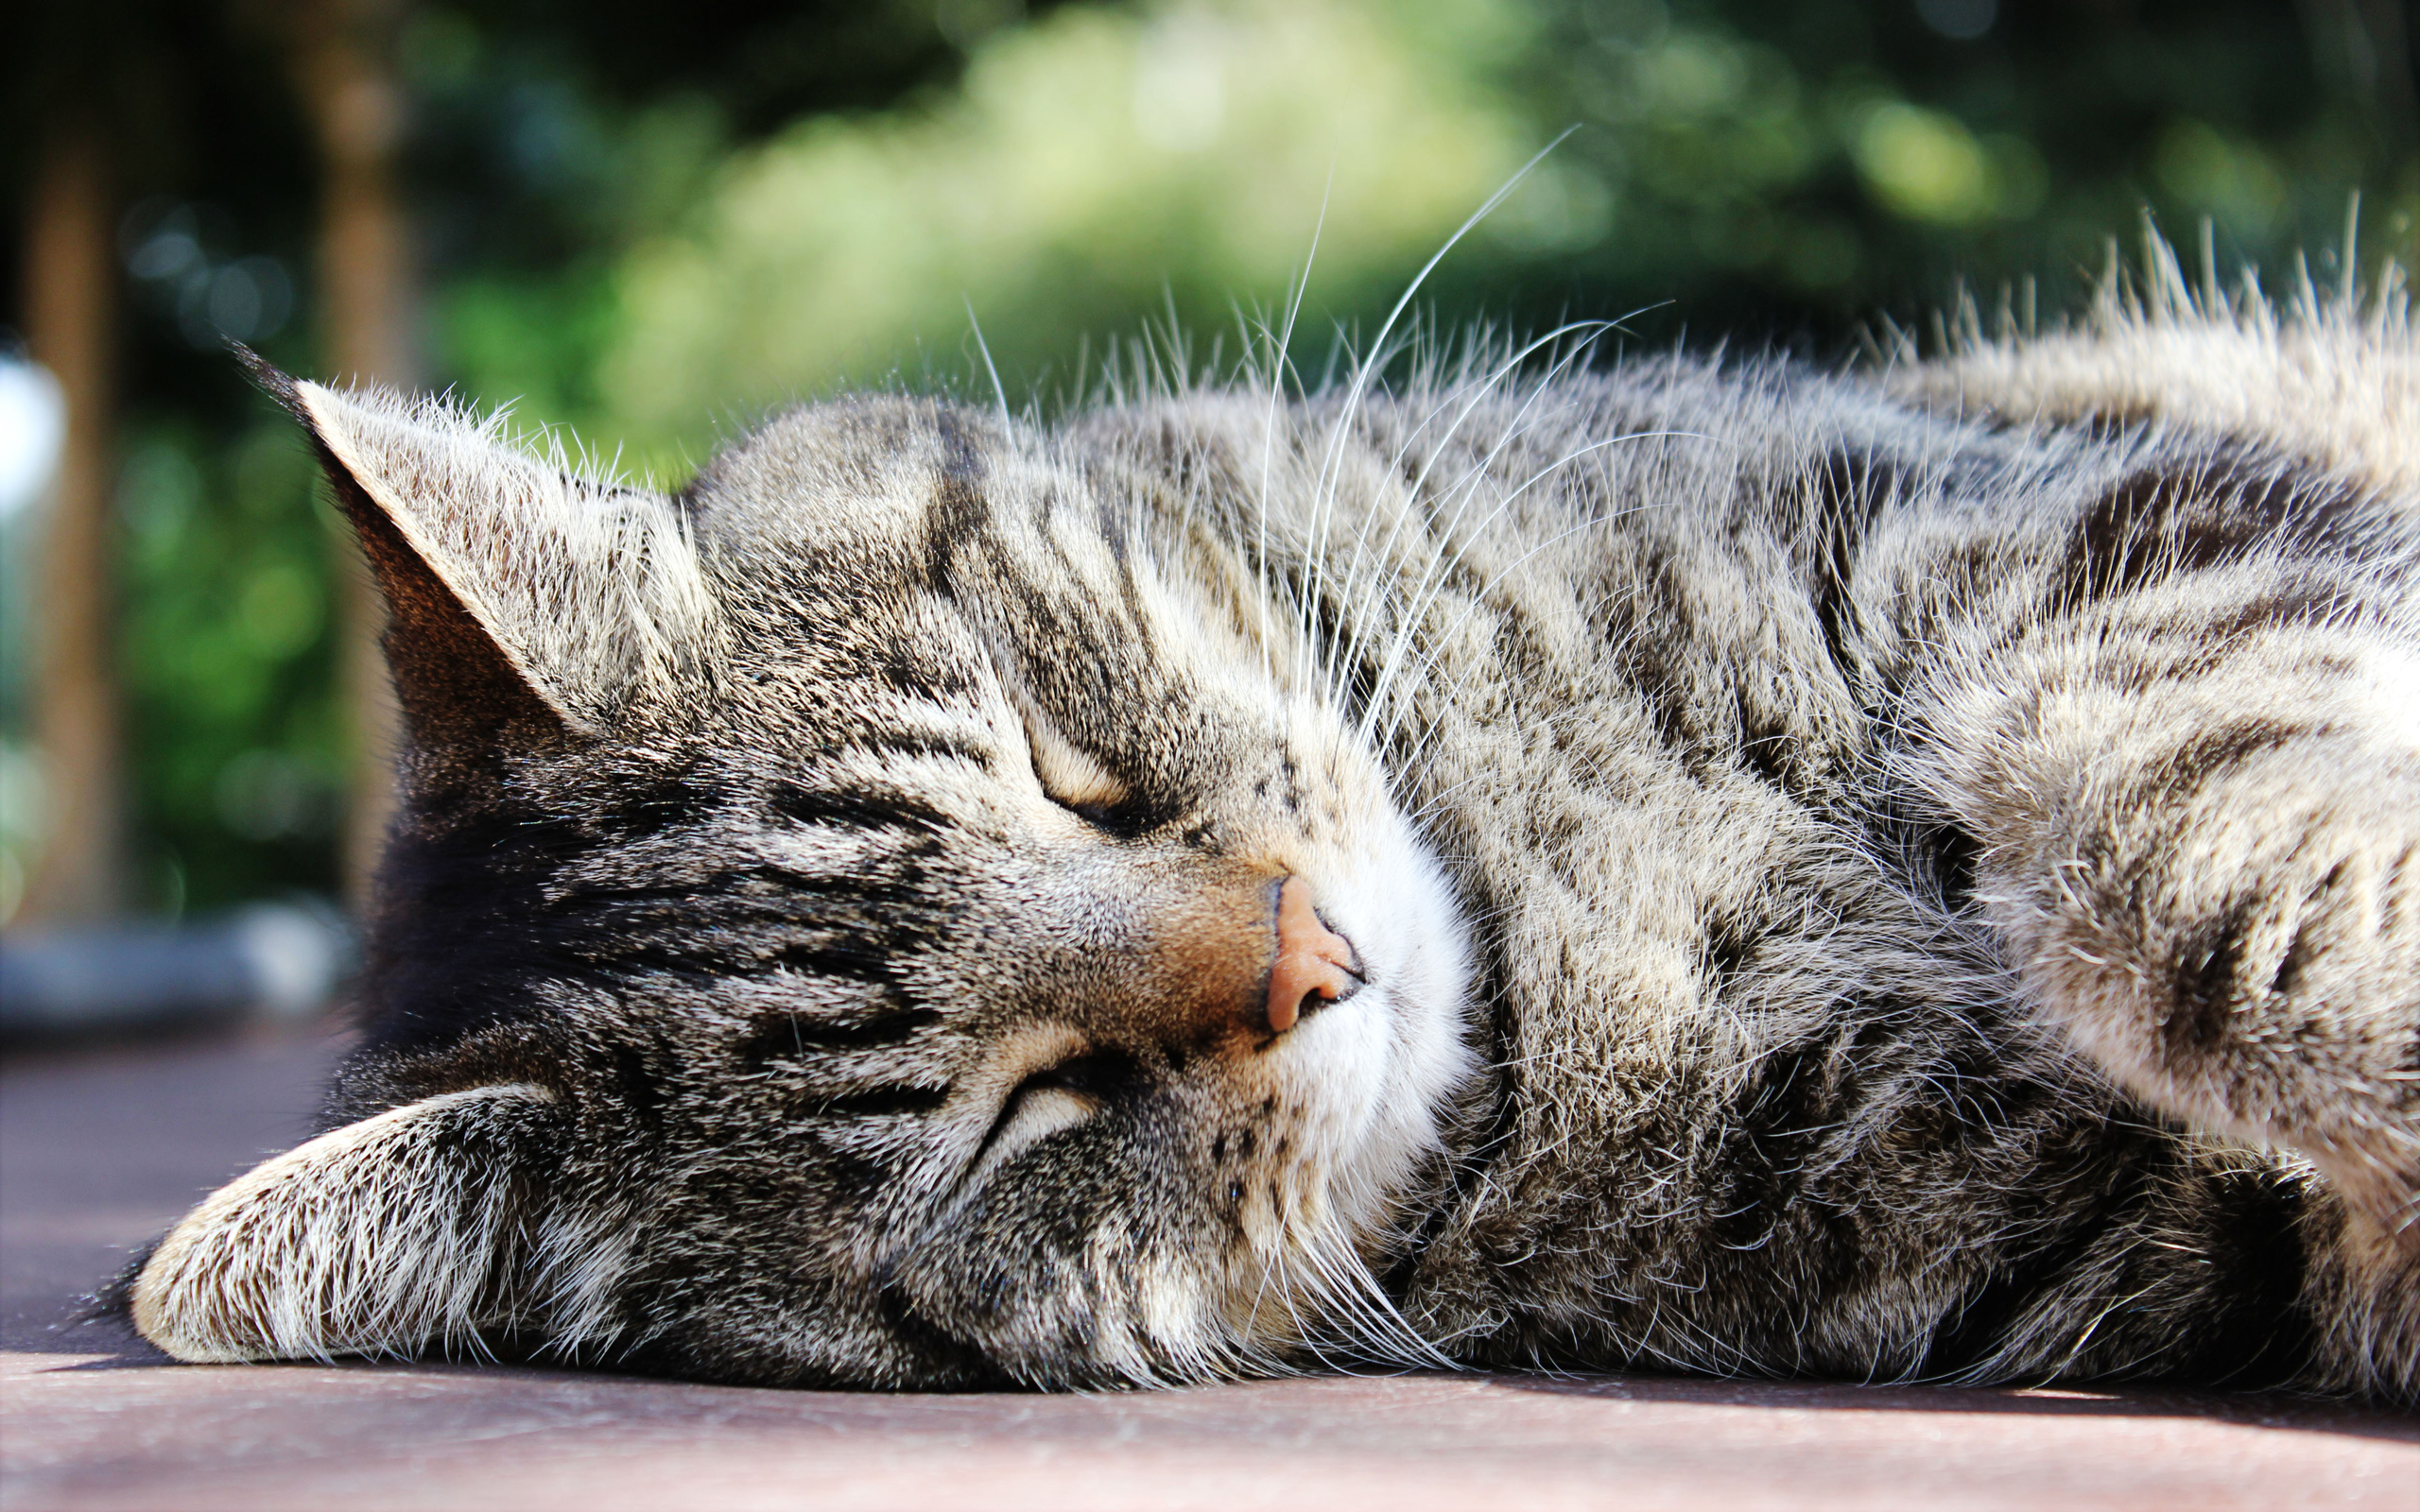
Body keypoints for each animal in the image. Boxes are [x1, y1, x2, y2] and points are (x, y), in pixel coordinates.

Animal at [104, 248, 2410, 1393]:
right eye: (1016, 1122)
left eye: (1069, 762)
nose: (1316, 952)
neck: (1541, 905)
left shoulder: (2076, 525)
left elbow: (2191, 828)